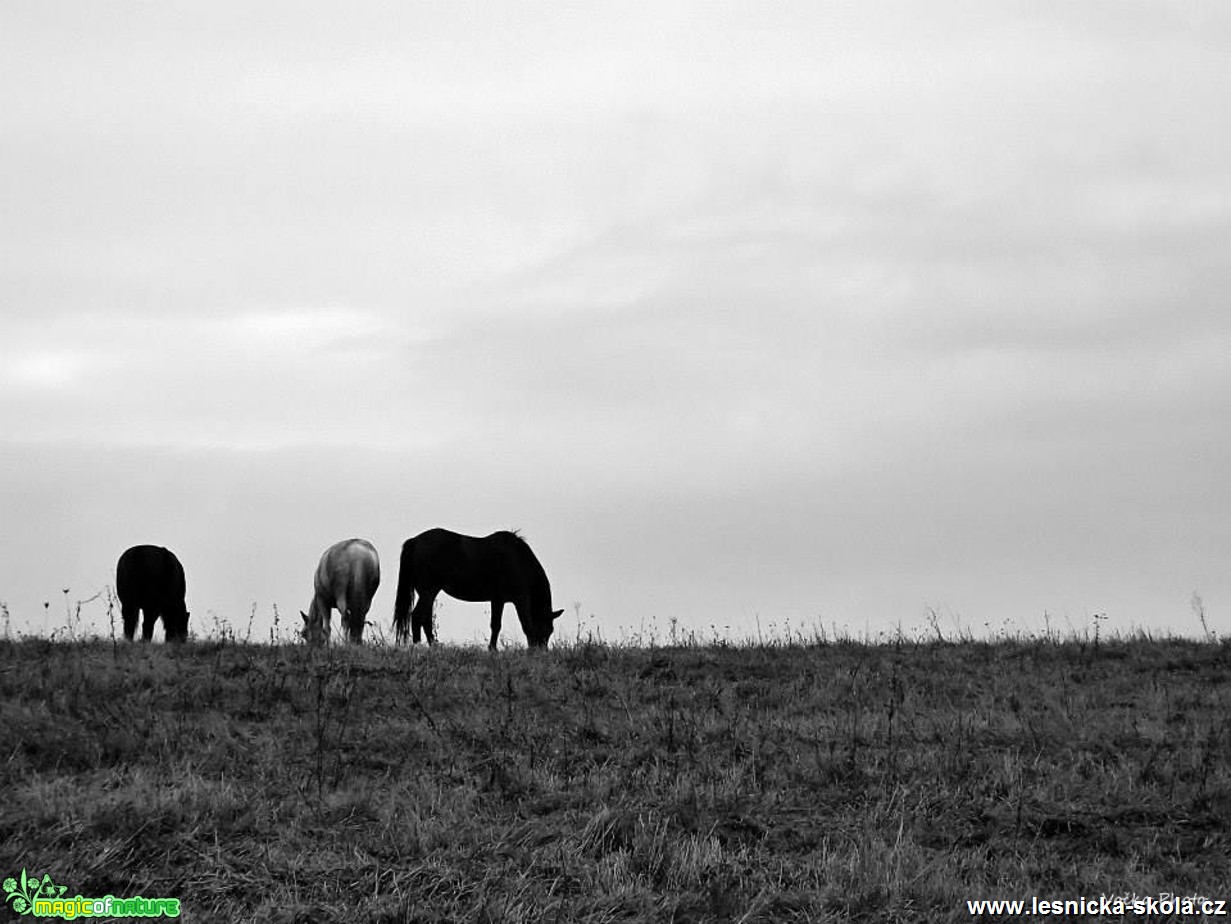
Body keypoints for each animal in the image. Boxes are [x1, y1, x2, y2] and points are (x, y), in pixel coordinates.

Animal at [393, 526, 563, 649]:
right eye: (545, 629)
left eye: (550, 631)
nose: (541, 651)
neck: (518, 562)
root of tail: (415, 541)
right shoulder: (518, 599)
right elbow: (522, 625)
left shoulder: (498, 600)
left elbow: (496, 625)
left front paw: (492, 649)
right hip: (429, 592)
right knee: (417, 616)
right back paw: (421, 647)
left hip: (428, 593)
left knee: (425, 618)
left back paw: (432, 646)